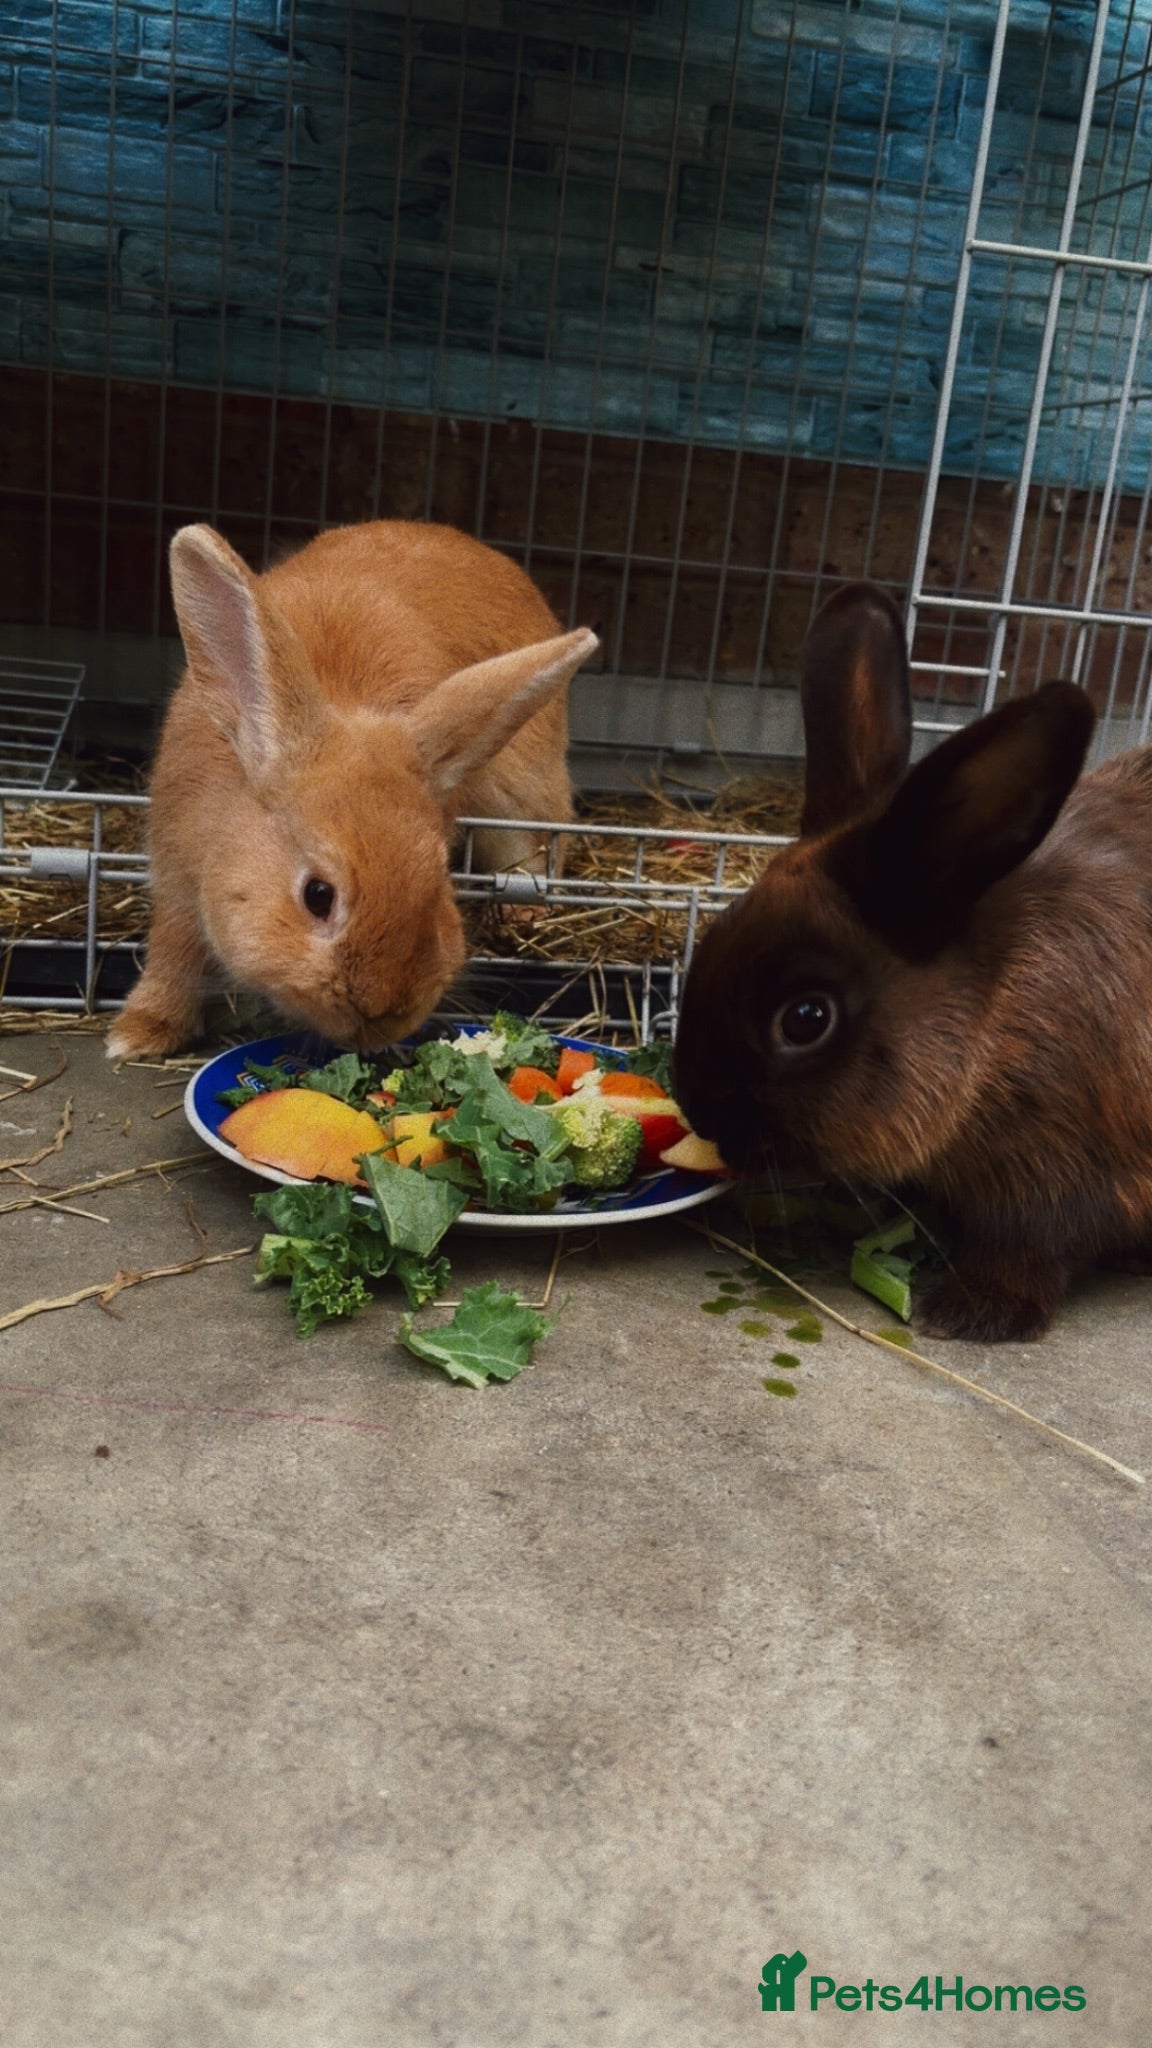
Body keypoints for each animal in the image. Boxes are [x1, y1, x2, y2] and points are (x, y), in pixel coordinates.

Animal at [106, 519, 597, 1062]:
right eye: (317, 895)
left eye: (440, 879)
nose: (383, 1015)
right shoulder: (176, 879)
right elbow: (173, 955)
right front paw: (139, 1033)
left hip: (520, 792)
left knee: (534, 847)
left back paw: (524, 908)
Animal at [672, 578, 1152, 1343]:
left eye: (805, 1018)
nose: (697, 1109)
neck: (994, 1019)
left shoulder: (1063, 1175)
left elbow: (1031, 1249)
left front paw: (968, 1313)